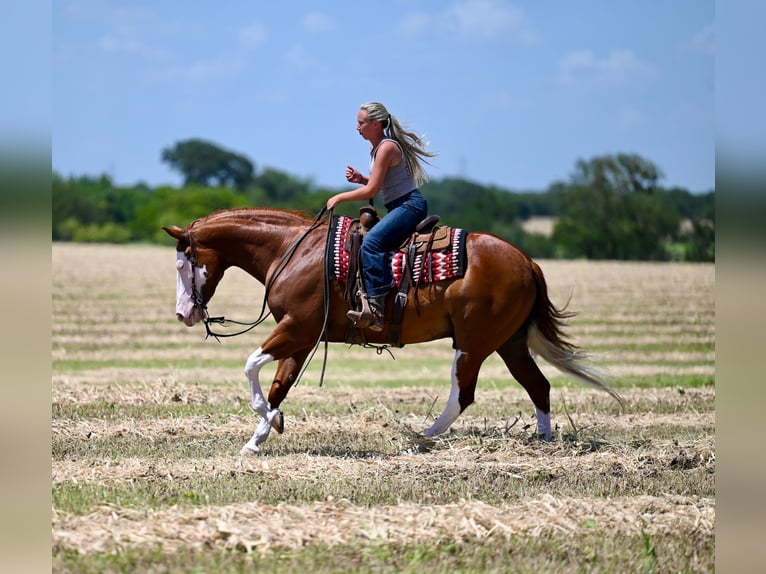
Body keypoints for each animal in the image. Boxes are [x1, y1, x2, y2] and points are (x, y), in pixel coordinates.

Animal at [163, 207, 621, 454]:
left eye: (183, 263)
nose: (184, 314)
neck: (293, 251)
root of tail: (527, 261)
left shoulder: (296, 328)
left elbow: (251, 367)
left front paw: (267, 422)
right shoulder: (301, 337)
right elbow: (279, 385)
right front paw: (260, 436)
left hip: (474, 344)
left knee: (464, 394)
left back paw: (423, 437)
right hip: (509, 343)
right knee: (537, 385)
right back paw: (544, 442)